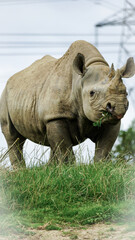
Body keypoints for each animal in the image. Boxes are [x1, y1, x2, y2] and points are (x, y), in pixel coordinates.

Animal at [0, 40, 135, 168]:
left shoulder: (110, 120)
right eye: (92, 93)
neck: (79, 81)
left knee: (50, 141)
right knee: (13, 138)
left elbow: (104, 149)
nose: (118, 108)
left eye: (127, 93)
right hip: (5, 95)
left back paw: (50, 168)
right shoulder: (56, 116)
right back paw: (20, 171)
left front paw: (101, 167)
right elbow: (64, 148)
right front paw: (68, 170)